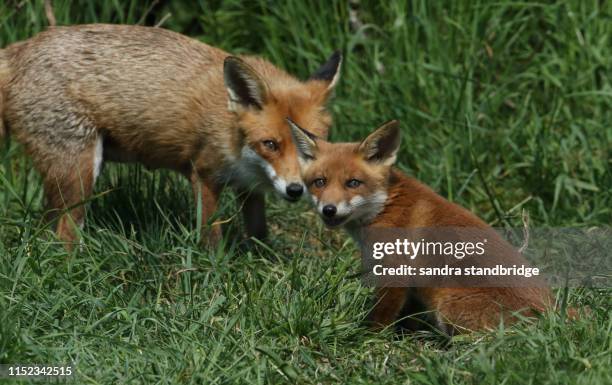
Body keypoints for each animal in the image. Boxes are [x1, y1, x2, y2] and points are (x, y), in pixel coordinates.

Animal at [0, 24, 340, 246]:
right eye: (270, 144)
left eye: (308, 146)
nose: (296, 190)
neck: (229, 126)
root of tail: (17, 50)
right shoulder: (203, 174)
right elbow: (210, 238)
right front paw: (215, 275)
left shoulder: (249, 187)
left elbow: (259, 234)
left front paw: (262, 262)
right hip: (79, 175)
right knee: (65, 237)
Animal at [286, 120, 556, 332]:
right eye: (320, 182)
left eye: (353, 183)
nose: (328, 209)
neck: (386, 206)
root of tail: (552, 315)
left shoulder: (396, 269)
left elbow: (381, 316)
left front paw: (369, 338)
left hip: (447, 305)